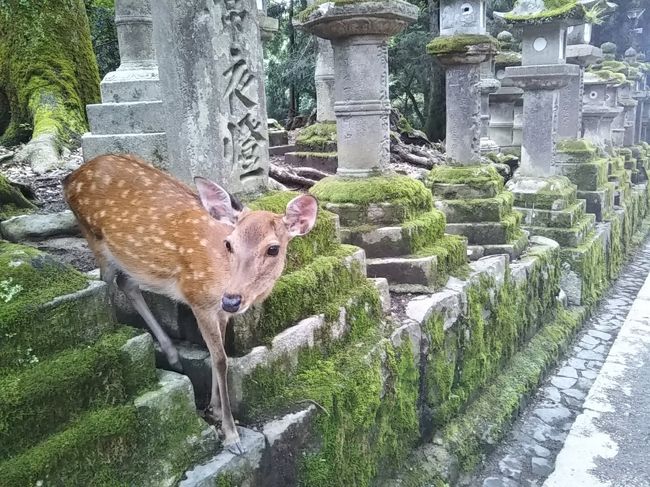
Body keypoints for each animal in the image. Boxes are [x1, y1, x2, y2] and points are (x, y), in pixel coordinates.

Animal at [64, 155, 318, 454]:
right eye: (229, 244)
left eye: (273, 248)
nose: (232, 299)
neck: (220, 280)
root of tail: (70, 177)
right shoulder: (198, 299)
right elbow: (220, 360)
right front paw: (231, 435)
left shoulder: (219, 311)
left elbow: (216, 354)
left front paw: (215, 408)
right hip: (93, 238)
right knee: (107, 283)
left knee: (127, 283)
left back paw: (172, 353)